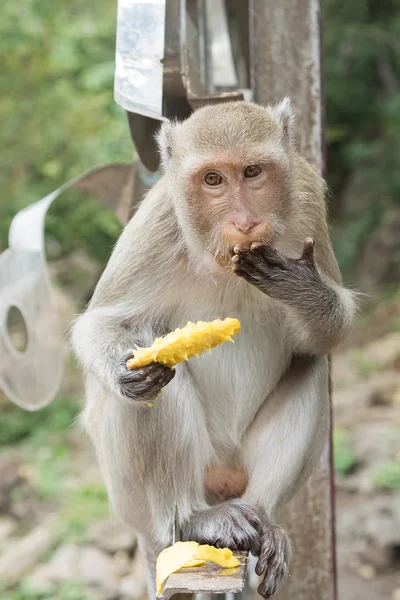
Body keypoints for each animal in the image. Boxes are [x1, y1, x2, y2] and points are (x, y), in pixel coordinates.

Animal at [70, 99, 354, 600]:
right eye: (213, 180)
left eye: (253, 172)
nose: (244, 222)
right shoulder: (158, 223)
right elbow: (102, 324)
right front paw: (125, 372)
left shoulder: (306, 202)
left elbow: (327, 336)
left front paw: (302, 290)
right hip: (128, 496)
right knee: (153, 362)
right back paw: (191, 520)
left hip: (237, 472)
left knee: (312, 364)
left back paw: (264, 519)